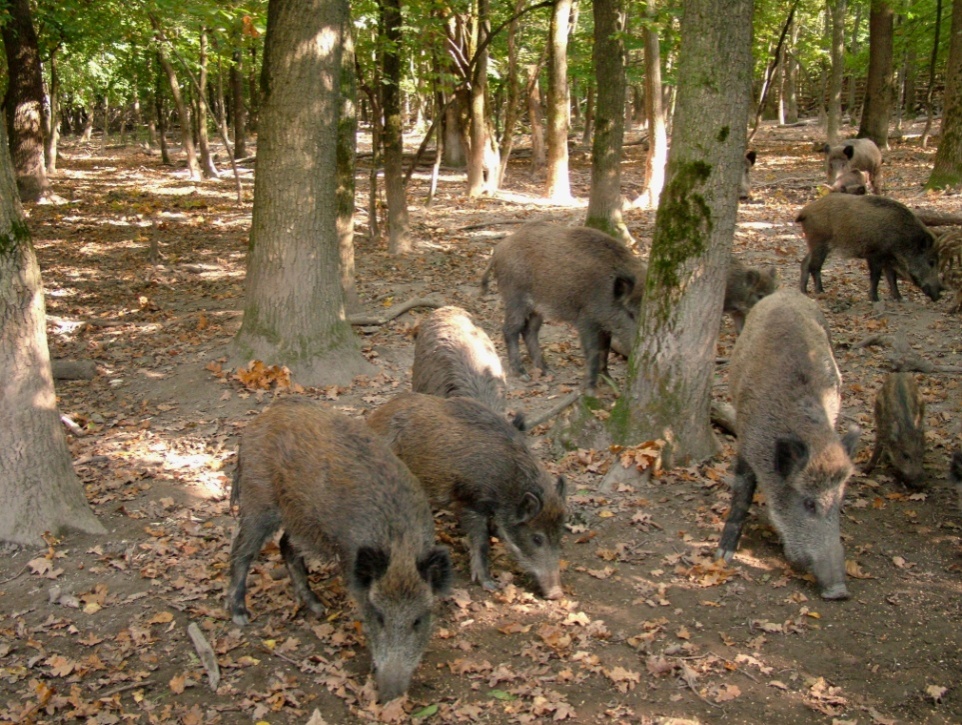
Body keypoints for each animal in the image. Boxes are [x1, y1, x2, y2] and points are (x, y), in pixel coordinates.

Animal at [226, 399, 452, 702]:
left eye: (417, 620)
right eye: (379, 616)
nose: (391, 693)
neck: (400, 544)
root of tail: (253, 426)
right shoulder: (351, 565)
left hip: (299, 518)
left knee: (285, 545)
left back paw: (317, 607)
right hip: (258, 503)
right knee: (242, 551)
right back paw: (241, 615)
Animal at [367, 392, 567, 599]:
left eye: (560, 533)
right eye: (537, 538)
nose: (557, 593)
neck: (506, 482)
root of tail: (373, 418)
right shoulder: (470, 503)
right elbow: (480, 541)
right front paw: (489, 584)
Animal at [480, 221, 647, 393]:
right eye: (630, 313)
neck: (607, 291)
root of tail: (498, 249)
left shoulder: (605, 325)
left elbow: (605, 350)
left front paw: (609, 380)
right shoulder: (586, 319)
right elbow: (593, 351)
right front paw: (590, 389)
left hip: (537, 308)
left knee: (529, 331)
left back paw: (546, 370)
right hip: (515, 298)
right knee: (510, 329)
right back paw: (522, 374)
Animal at [717, 289, 859, 600]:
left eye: (839, 501)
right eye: (808, 503)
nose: (839, 591)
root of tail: (787, 292)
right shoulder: (746, 440)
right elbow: (742, 492)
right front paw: (723, 554)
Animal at [797, 194, 943, 302]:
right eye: (931, 262)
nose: (939, 295)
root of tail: (805, 211)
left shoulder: (888, 258)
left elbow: (892, 278)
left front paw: (899, 298)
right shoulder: (875, 254)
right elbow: (876, 276)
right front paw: (875, 299)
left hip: (814, 244)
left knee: (805, 262)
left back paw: (804, 291)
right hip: (819, 243)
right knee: (814, 267)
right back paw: (820, 292)